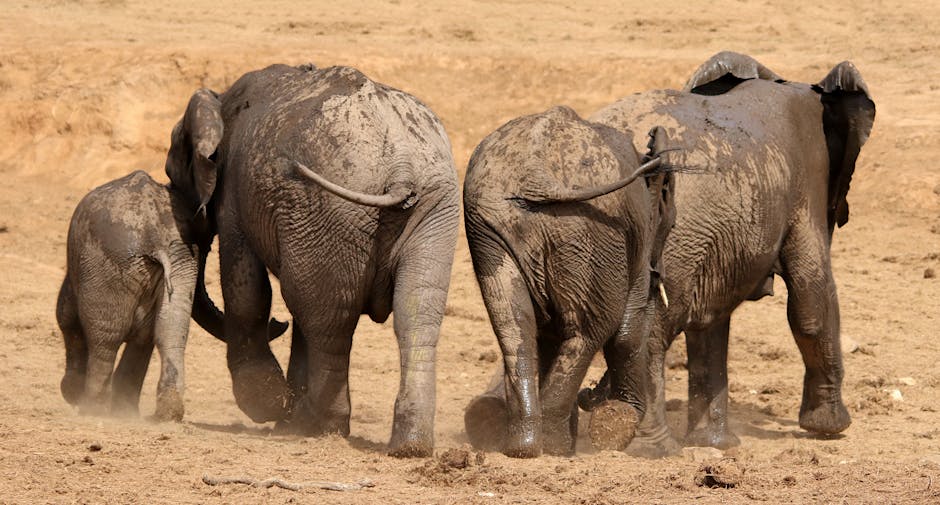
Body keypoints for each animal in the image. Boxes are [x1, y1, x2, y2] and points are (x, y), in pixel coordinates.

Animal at [56, 165, 288, 421]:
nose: (280, 321)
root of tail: (156, 241)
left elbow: (66, 317)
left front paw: (71, 393)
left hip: (111, 268)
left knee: (107, 339)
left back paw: (94, 410)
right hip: (172, 265)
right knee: (166, 333)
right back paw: (162, 412)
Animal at [166, 64, 459, 457]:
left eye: (172, 173)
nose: (277, 324)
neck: (221, 99)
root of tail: (400, 164)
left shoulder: (234, 196)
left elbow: (246, 288)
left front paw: (269, 405)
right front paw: (281, 412)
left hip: (330, 207)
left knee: (328, 321)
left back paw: (318, 425)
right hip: (430, 207)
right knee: (414, 314)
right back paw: (409, 447)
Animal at [461, 105, 677, 457]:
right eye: (669, 224)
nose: (589, 395)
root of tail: (536, 176)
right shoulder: (636, 235)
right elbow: (628, 330)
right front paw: (616, 423)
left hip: (493, 227)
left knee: (515, 325)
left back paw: (525, 446)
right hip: (590, 230)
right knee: (589, 329)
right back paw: (556, 444)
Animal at [577, 51, 876, 457]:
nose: (587, 396)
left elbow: (710, 318)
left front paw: (715, 444)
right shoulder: (808, 179)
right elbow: (812, 300)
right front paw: (831, 429)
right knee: (649, 333)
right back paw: (653, 449)